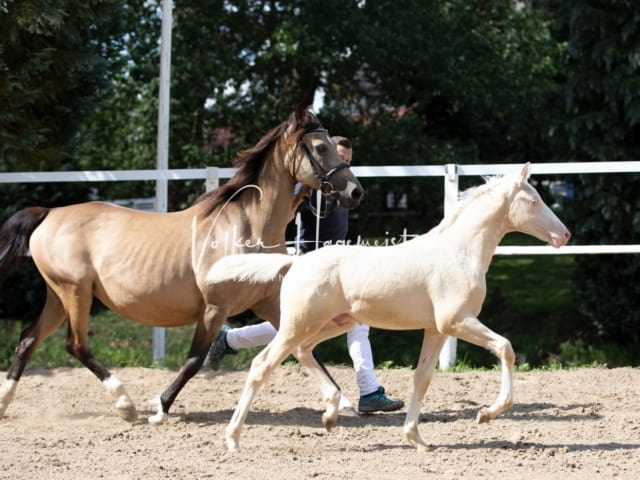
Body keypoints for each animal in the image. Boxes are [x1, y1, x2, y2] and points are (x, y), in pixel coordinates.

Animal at [0, 107, 362, 422]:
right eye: (321, 147)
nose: (356, 192)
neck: (248, 228)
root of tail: (49, 213)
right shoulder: (215, 308)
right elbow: (193, 361)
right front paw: (160, 408)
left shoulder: (269, 303)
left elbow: (304, 349)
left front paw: (342, 401)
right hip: (76, 293)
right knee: (75, 345)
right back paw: (126, 404)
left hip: (58, 295)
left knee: (28, 339)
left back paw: (5, 403)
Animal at [208, 164, 572, 450]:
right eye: (534, 200)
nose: (564, 235)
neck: (460, 252)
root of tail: (295, 262)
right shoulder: (457, 321)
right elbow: (506, 348)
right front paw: (486, 414)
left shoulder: (436, 329)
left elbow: (422, 378)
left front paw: (416, 439)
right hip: (299, 323)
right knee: (262, 364)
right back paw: (233, 438)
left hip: (333, 323)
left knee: (303, 351)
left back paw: (331, 413)